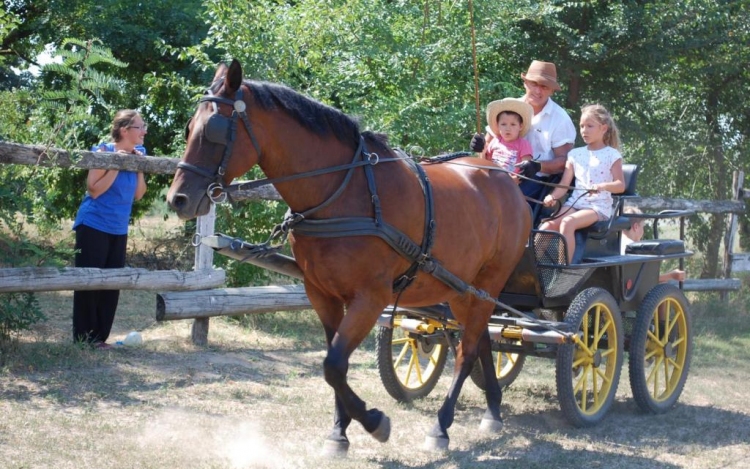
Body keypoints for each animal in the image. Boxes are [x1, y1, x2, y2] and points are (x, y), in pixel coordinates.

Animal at [169, 59, 536, 454]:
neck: (343, 192)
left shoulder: (371, 297)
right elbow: (334, 364)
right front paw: (339, 431)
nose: (178, 199)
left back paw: (441, 426)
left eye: (214, 132)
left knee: (467, 351)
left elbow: (333, 364)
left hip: (488, 283)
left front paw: (374, 422)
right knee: (481, 339)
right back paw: (493, 410)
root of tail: (506, 181)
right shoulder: (322, 294)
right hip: (461, 288)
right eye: (189, 128)